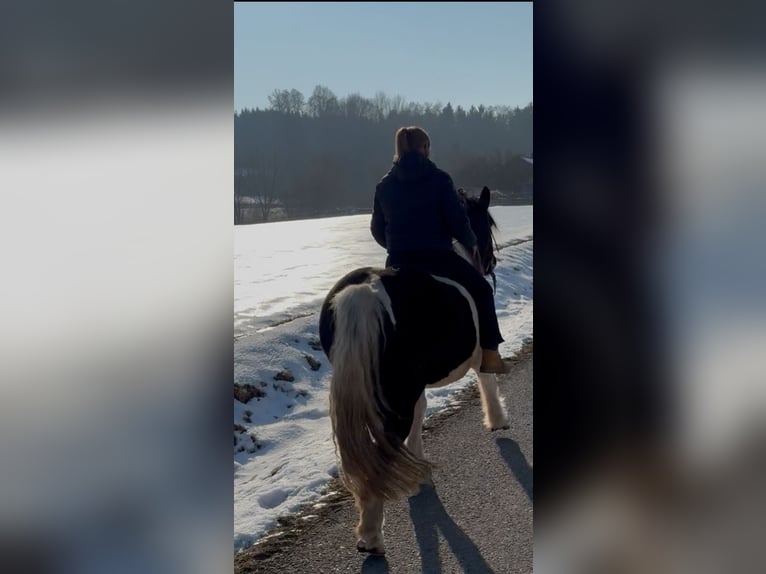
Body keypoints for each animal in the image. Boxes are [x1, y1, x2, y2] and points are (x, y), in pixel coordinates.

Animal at [318, 185, 510, 556]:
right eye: (486, 225)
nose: (491, 263)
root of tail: (363, 293)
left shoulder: (415, 385)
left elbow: (422, 413)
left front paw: (419, 463)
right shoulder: (478, 353)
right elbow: (488, 378)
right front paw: (497, 419)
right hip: (397, 390)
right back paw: (372, 536)